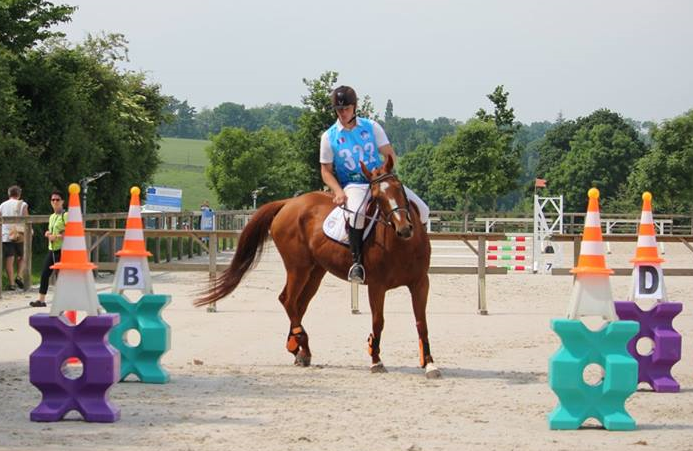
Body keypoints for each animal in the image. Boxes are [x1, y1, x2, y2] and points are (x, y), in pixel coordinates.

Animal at [197, 155, 440, 378]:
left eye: (399, 188)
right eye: (378, 197)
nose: (404, 228)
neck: (402, 245)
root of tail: (288, 203)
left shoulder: (420, 283)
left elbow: (422, 322)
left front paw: (429, 363)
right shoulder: (377, 286)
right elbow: (378, 321)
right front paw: (376, 360)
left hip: (316, 271)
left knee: (299, 304)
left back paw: (298, 348)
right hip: (298, 267)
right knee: (288, 300)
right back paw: (300, 347)